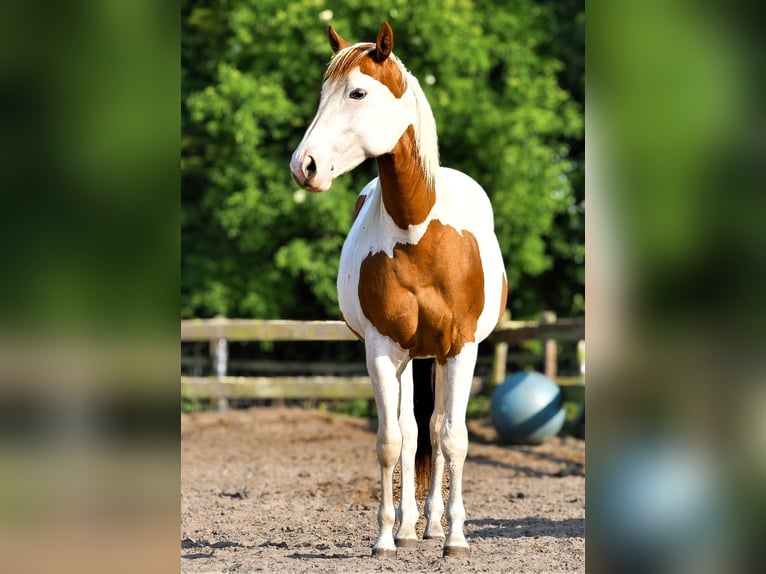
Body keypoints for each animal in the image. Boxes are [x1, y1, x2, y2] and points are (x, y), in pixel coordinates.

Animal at [290, 22, 507, 558]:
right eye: (322, 93)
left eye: (358, 92)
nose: (304, 165)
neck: (418, 233)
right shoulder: (383, 349)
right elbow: (392, 440)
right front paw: (386, 538)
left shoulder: (461, 349)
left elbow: (453, 438)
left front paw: (455, 538)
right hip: (411, 357)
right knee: (412, 433)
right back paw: (411, 527)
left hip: (437, 357)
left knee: (434, 429)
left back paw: (433, 526)